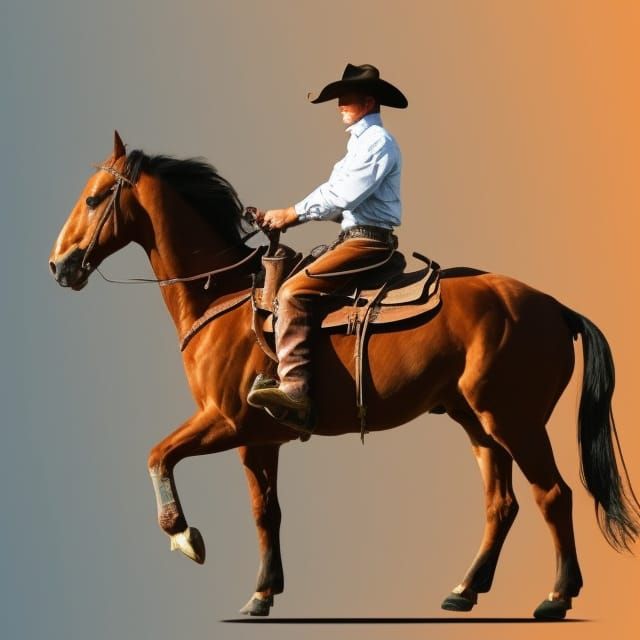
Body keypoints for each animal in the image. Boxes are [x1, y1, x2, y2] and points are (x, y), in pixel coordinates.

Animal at [49, 132, 639, 619]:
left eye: (95, 198)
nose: (59, 265)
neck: (223, 298)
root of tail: (555, 306)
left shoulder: (223, 421)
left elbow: (157, 455)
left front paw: (184, 537)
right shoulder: (256, 438)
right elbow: (265, 511)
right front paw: (261, 594)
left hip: (515, 421)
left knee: (553, 494)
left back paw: (556, 597)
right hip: (477, 423)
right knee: (502, 503)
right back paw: (464, 590)